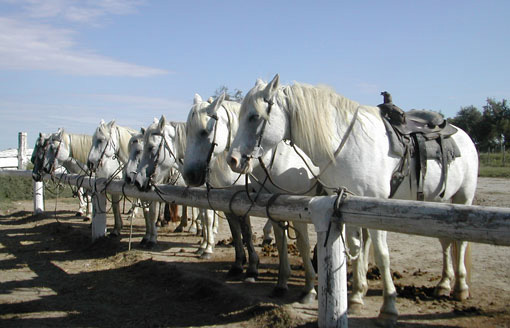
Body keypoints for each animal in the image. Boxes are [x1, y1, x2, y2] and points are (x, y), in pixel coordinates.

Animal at [183, 93, 318, 302]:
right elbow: (238, 233)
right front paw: (239, 265)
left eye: (204, 132)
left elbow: (249, 233)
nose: (189, 175)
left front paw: (253, 268)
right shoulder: (234, 203)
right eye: (187, 131)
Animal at [227, 75, 478, 326]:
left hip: (463, 198)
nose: (233, 160)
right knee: (446, 242)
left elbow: (381, 255)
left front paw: (388, 308)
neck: (347, 145)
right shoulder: (346, 205)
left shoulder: (375, 209)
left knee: (461, 241)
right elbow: (356, 247)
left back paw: (460, 287)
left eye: (254, 116)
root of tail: (463, 134)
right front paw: (357, 296)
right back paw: (444, 284)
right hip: (441, 202)